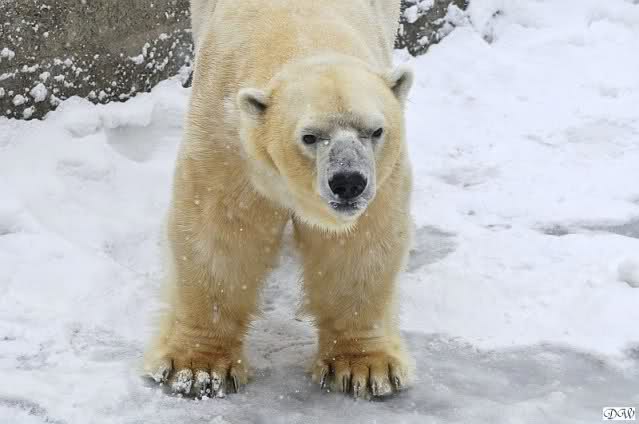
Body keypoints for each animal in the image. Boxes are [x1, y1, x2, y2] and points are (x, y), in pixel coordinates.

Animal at [144, 0, 414, 399]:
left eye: (376, 130)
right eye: (309, 137)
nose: (348, 182)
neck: (297, 27)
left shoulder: (384, 175)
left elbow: (360, 243)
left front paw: (363, 368)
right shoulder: (228, 138)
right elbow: (218, 232)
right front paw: (198, 368)